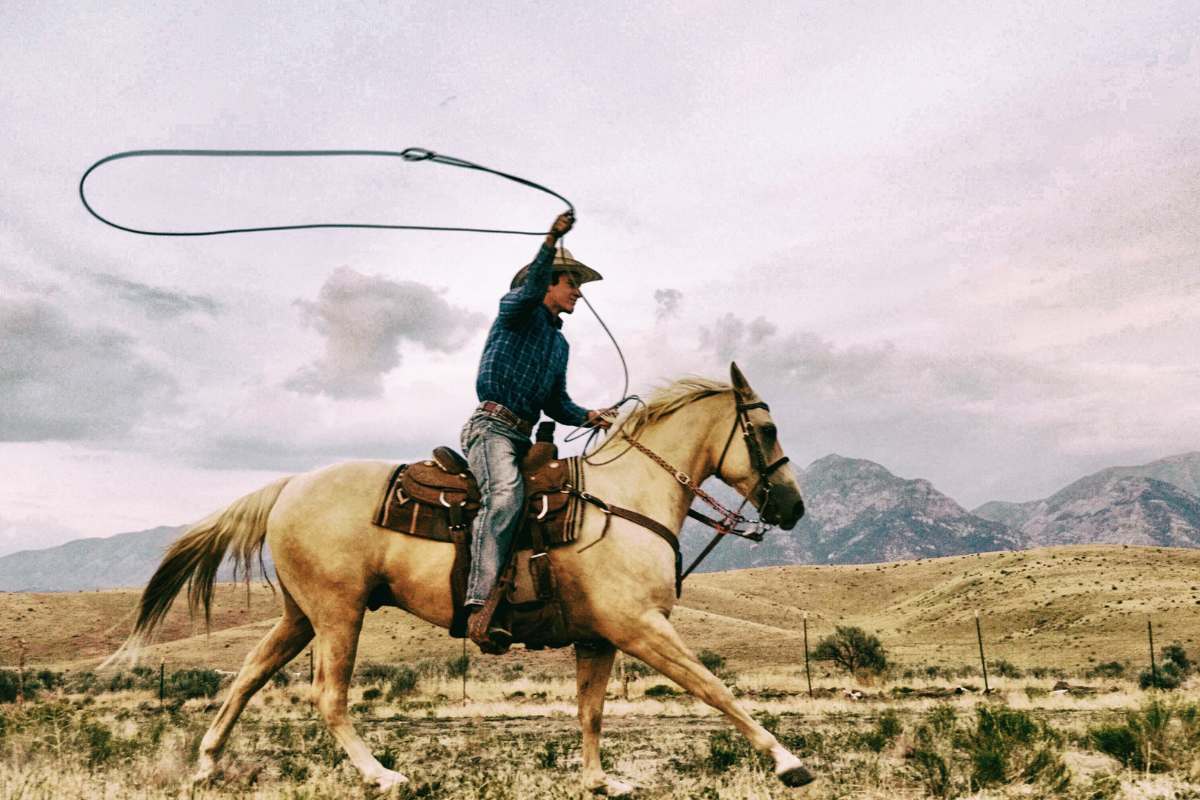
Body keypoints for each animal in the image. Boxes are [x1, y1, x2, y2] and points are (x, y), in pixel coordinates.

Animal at [114, 362, 816, 796]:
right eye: (768, 428)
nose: (793, 506)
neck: (624, 500)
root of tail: (290, 486)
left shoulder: (599, 638)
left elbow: (590, 712)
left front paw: (599, 781)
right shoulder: (640, 628)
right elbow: (714, 689)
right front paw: (789, 763)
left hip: (299, 615)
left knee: (247, 676)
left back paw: (207, 764)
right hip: (339, 614)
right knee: (328, 697)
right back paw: (381, 777)